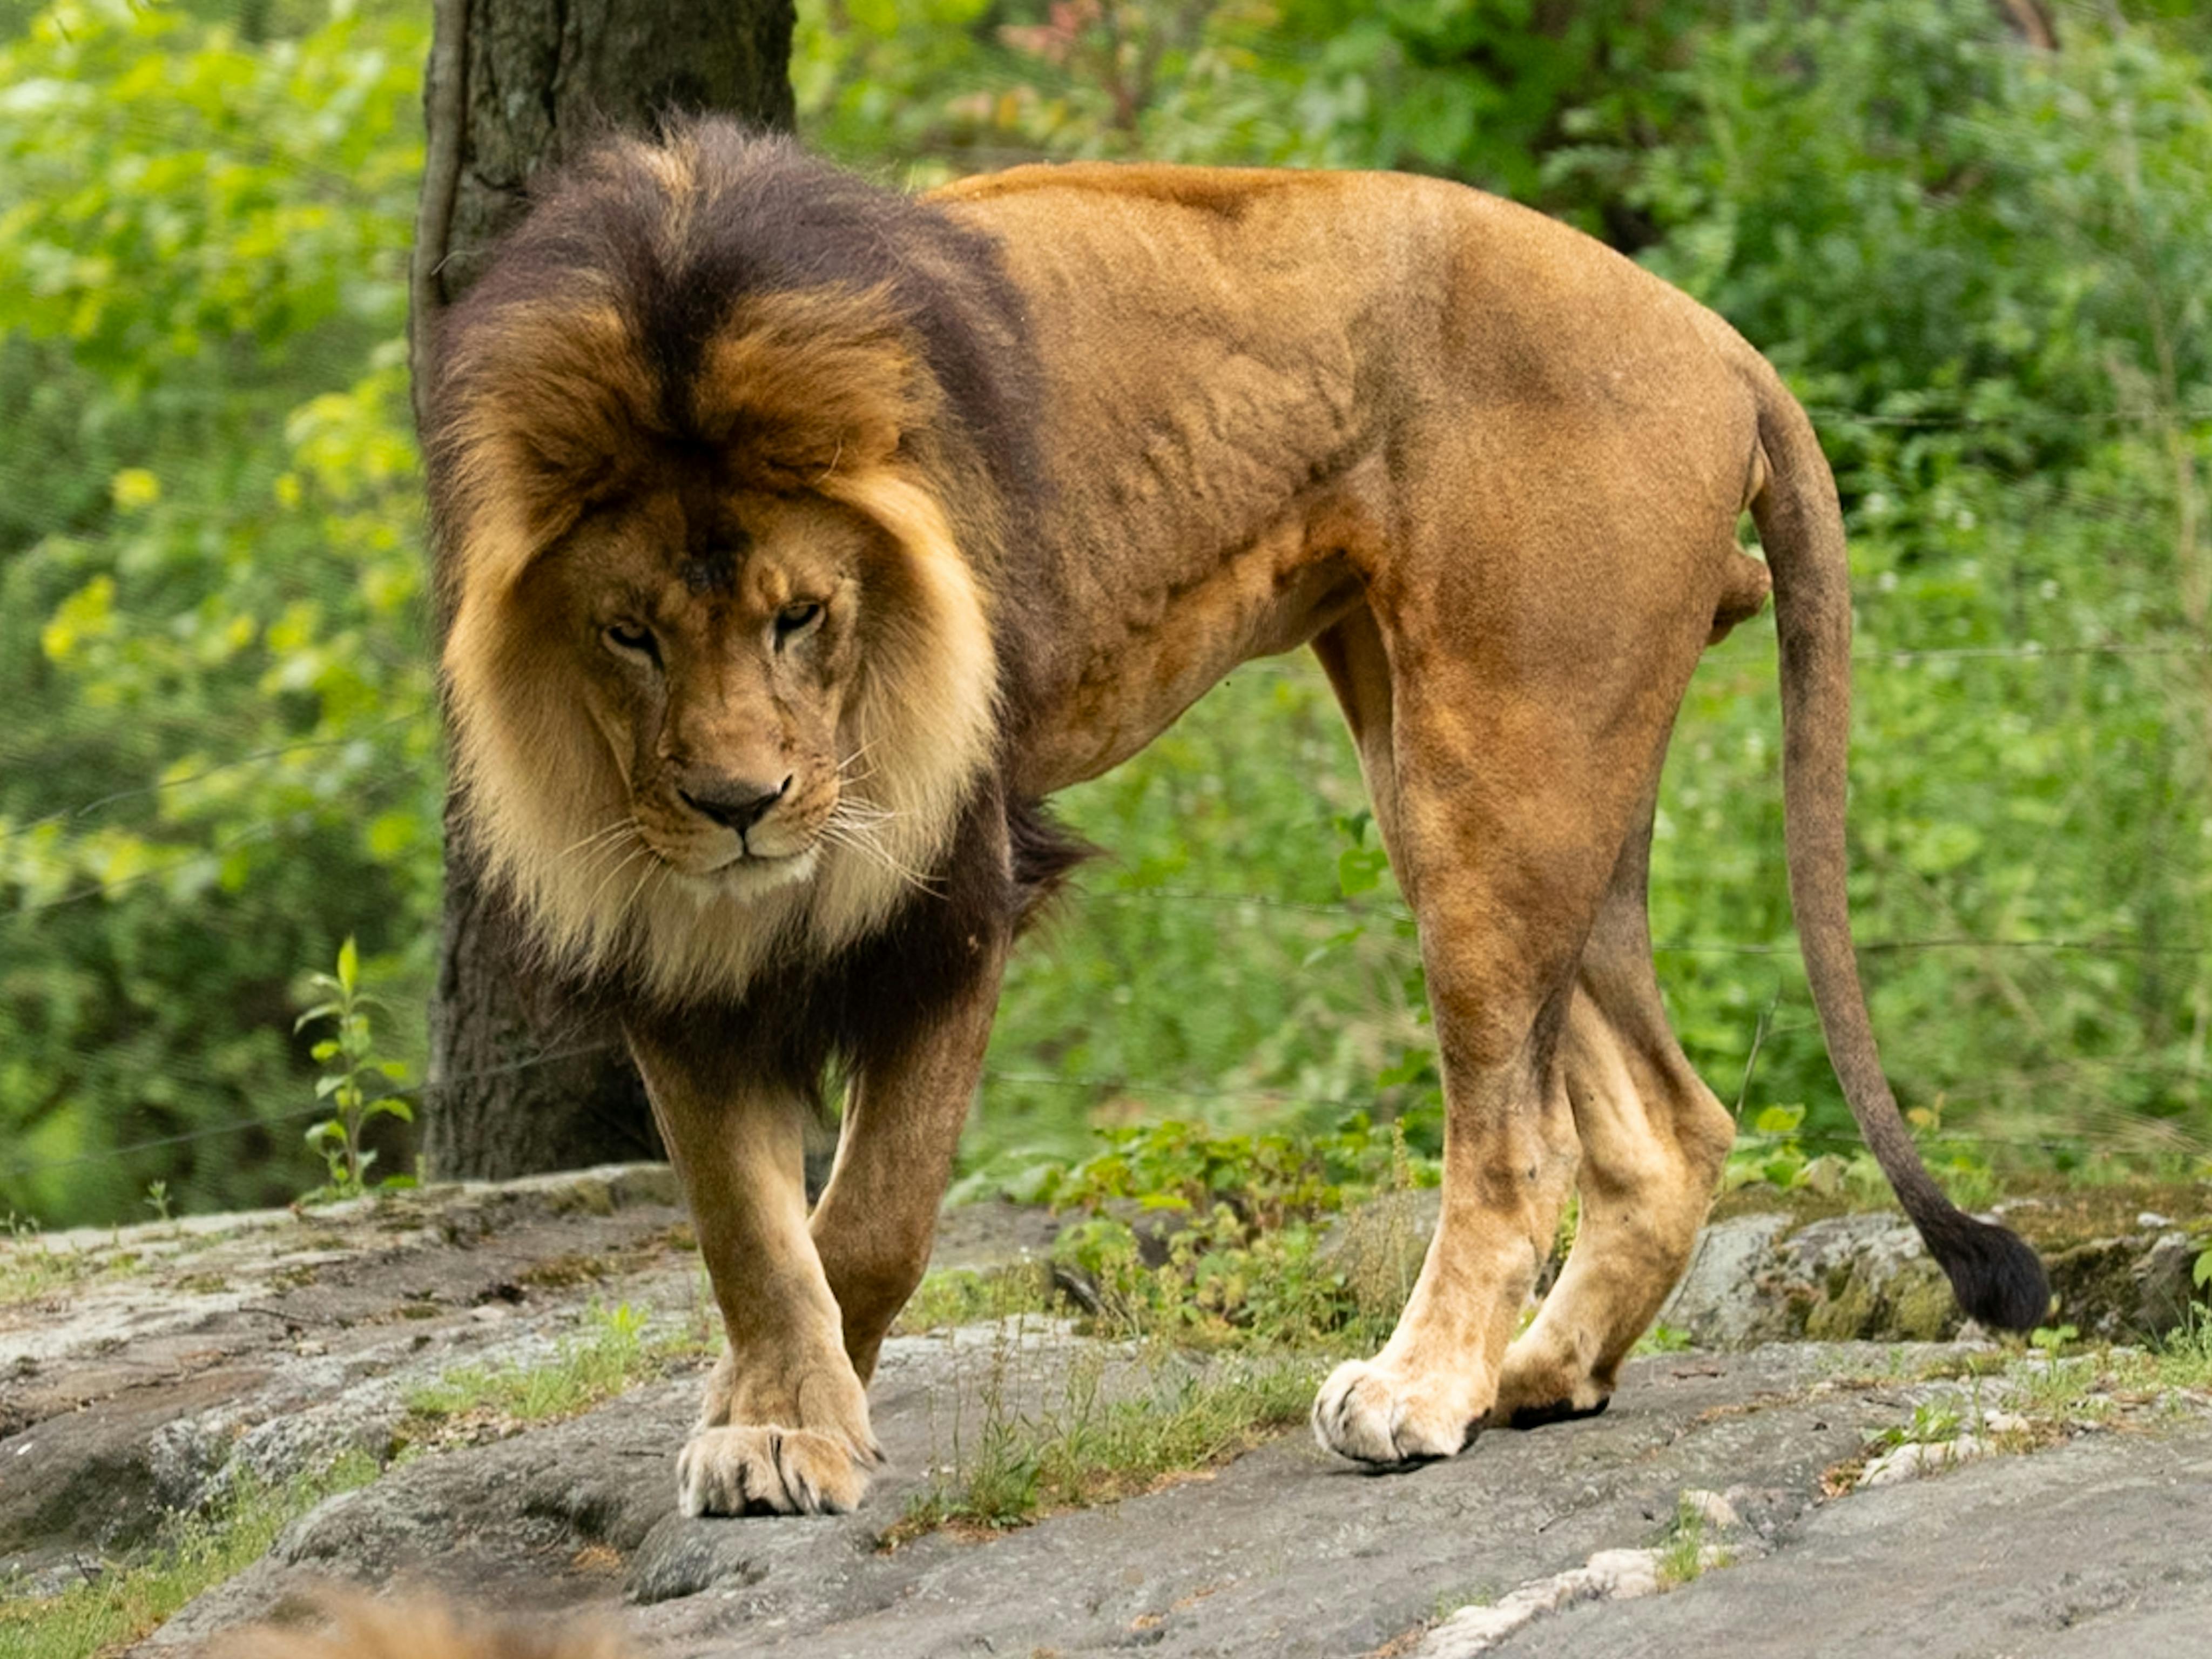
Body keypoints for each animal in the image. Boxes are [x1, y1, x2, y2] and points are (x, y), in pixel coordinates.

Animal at [425, 120, 2048, 1517]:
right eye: (631, 635)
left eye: (801, 614)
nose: (740, 806)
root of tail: (1719, 337)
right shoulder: (656, 913)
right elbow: (746, 1230)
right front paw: (766, 1415)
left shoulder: (962, 882)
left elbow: (868, 1221)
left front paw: (796, 1428)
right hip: (1498, 766)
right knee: (1668, 1123)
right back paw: (1537, 1374)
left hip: (1496, 759)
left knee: (1519, 1139)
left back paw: (1422, 1391)